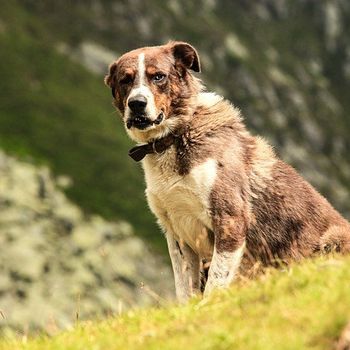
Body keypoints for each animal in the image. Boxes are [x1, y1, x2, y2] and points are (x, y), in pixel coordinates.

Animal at [105, 42, 350, 302]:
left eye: (158, 76)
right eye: (125, 80)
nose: (137, 103)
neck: (175, 137)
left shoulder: (230, 220)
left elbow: (215, 282)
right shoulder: (177, 235)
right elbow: (185, 289)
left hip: (333, 238)